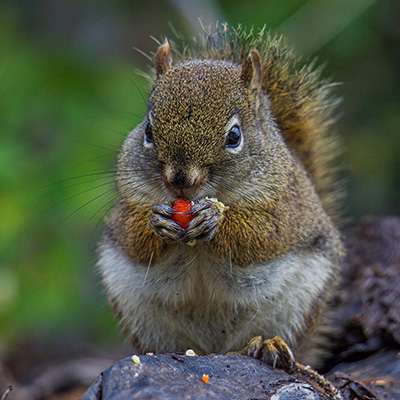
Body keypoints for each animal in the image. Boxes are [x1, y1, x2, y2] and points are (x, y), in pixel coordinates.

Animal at [97, 24, 344, 368]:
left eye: (234, 136)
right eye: (147, 131)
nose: (180, 181)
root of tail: (215, 350)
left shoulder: (287, 206)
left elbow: (265, 237)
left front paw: (215, 220)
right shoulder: (127, 205)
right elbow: (132, 239)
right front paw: (156, 221)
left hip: (299, 304)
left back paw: (267, 345)